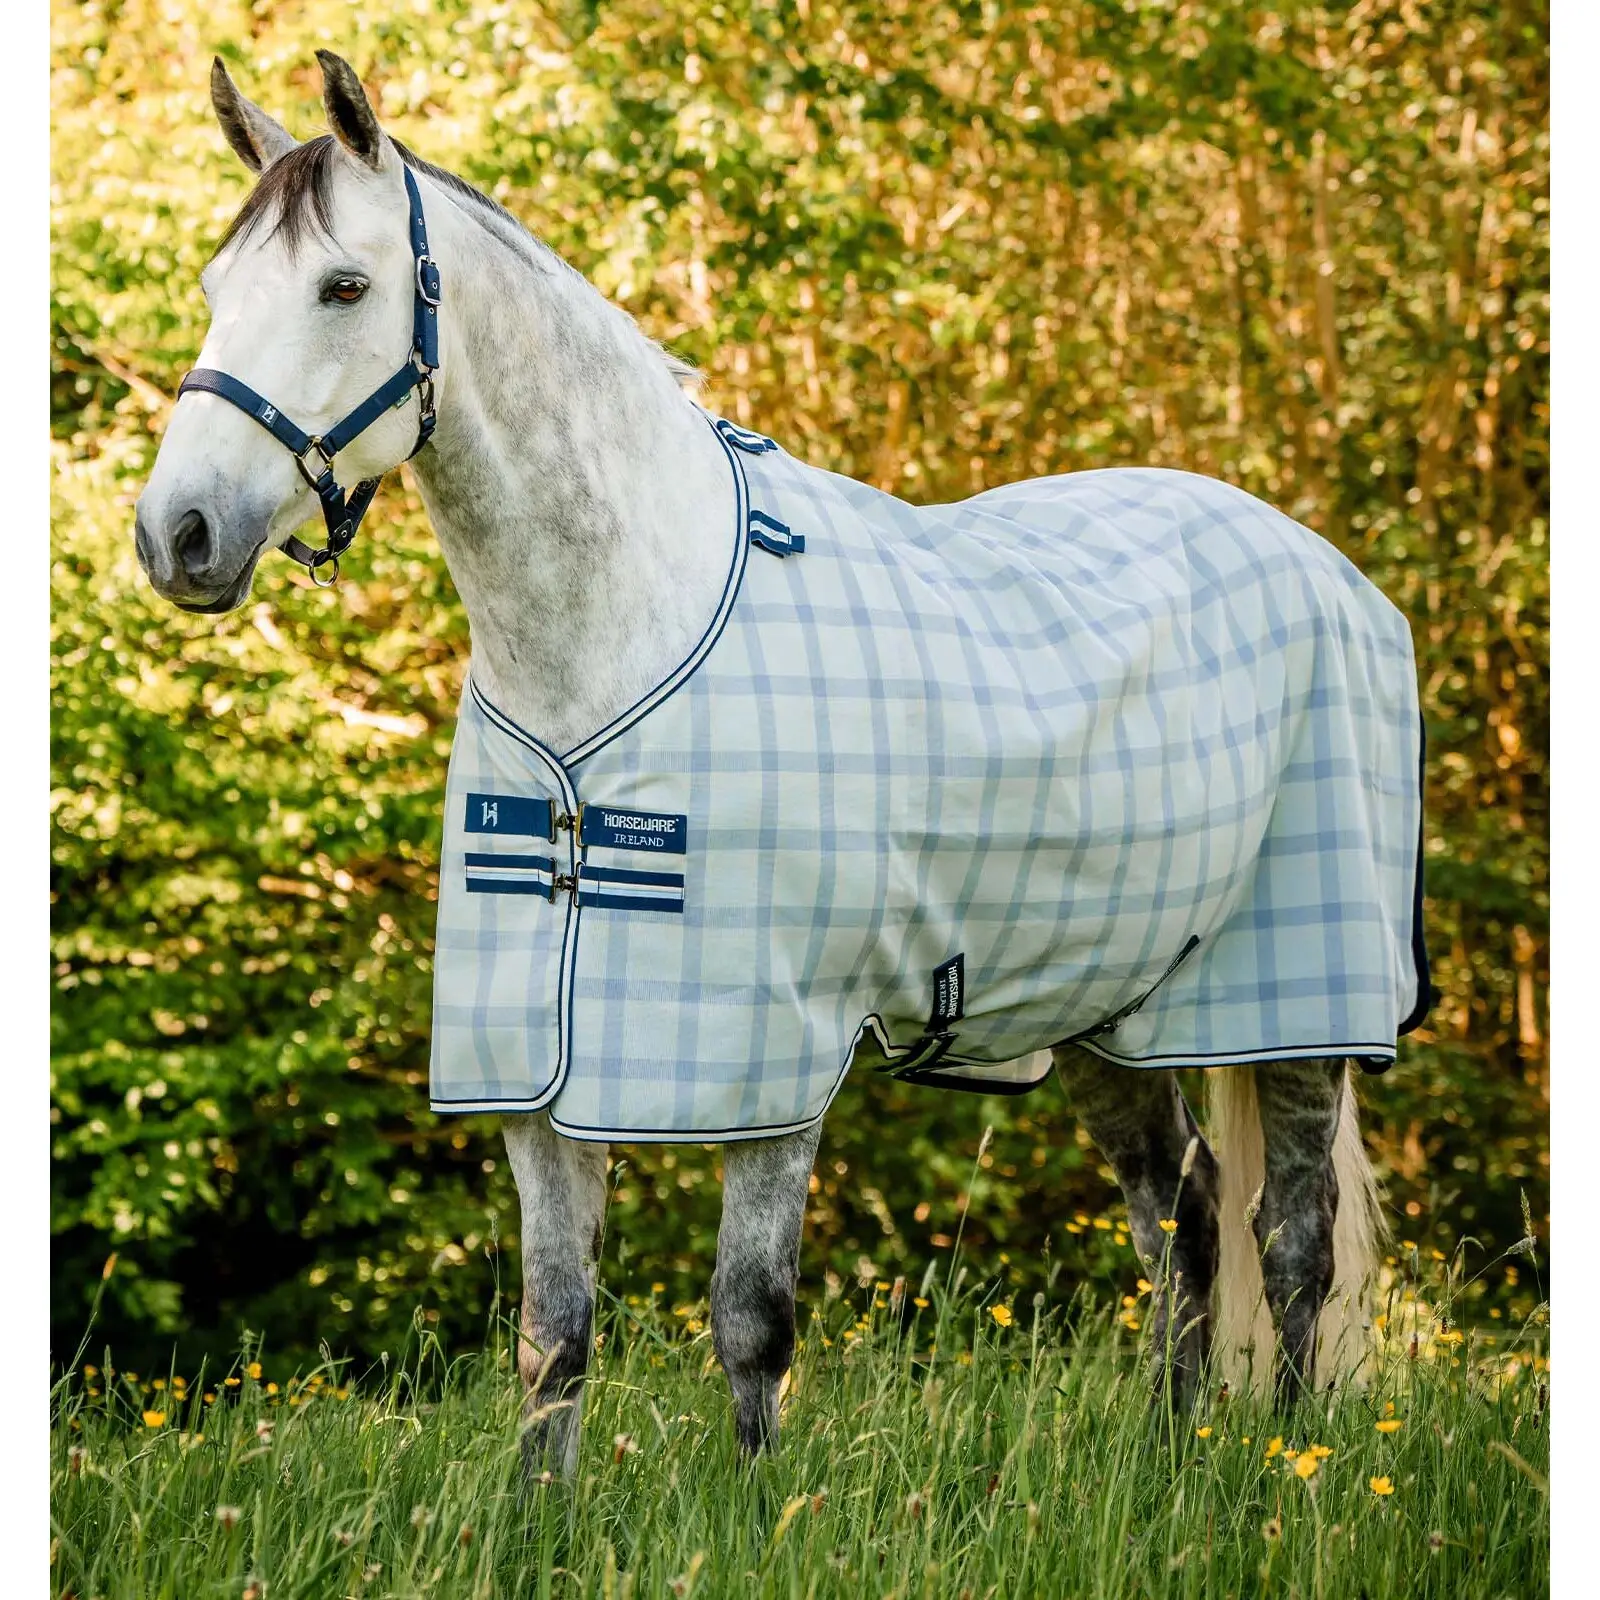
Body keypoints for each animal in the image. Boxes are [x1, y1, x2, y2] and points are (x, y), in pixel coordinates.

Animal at [135, 52, 1427, 1476]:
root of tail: (1324, 566)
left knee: (1290, 1242)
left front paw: (759, 1509)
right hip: (1105, 997)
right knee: (1181, 1214)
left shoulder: (769, 1063)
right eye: (217, 289)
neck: (617, 633)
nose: (177, 534)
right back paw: (1168, 1455)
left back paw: (1286, 1468)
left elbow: (751, 1324)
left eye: (343, 287)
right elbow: (553, 1338)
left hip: (1298, 1006)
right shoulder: (537, 1079)